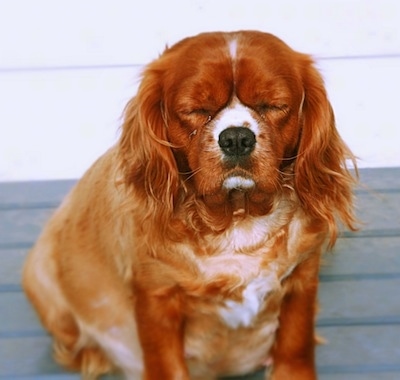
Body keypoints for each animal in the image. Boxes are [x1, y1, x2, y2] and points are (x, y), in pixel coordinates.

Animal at [23, 31, 358, 378]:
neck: (237, 220)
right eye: (196, 109)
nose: (236, 138)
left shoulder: (302, 281)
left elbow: (295, 343)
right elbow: (165, 363)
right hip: (41, 276)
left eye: (273, 105)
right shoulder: (157, 298)